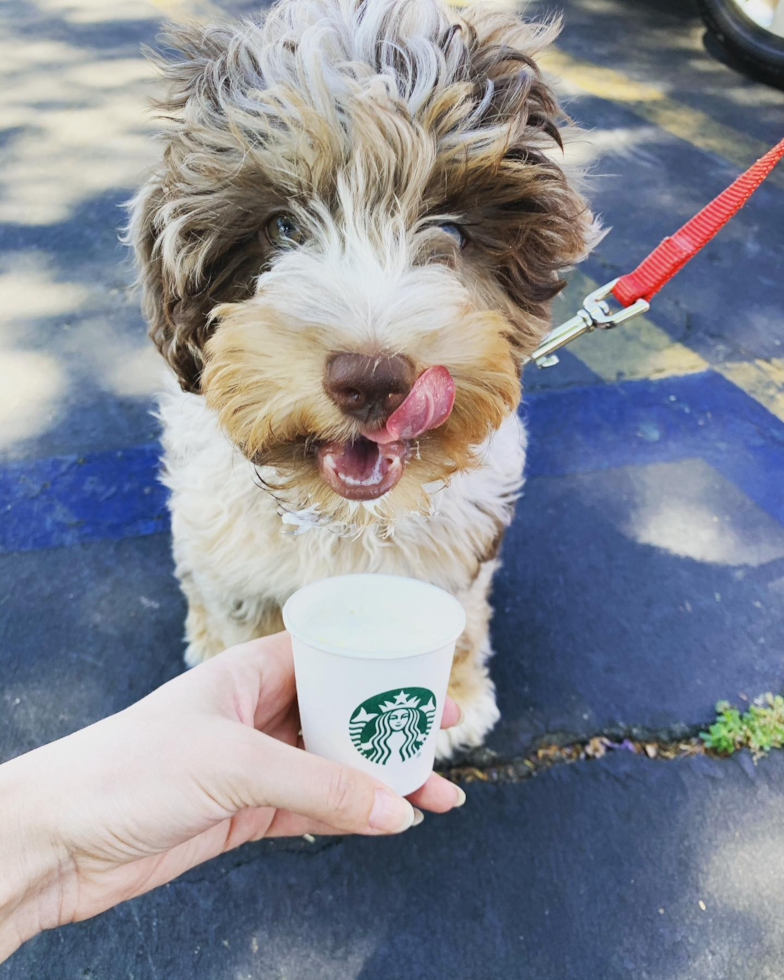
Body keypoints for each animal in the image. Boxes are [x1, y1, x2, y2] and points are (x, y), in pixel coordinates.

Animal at [129, 0, 596, 756]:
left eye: (452, 232)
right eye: (282, 227)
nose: (373, 380)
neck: (347, 518)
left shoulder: (465, 548)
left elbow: (461, 620)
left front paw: (459, 697)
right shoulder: (233, 563)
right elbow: (244, 627)